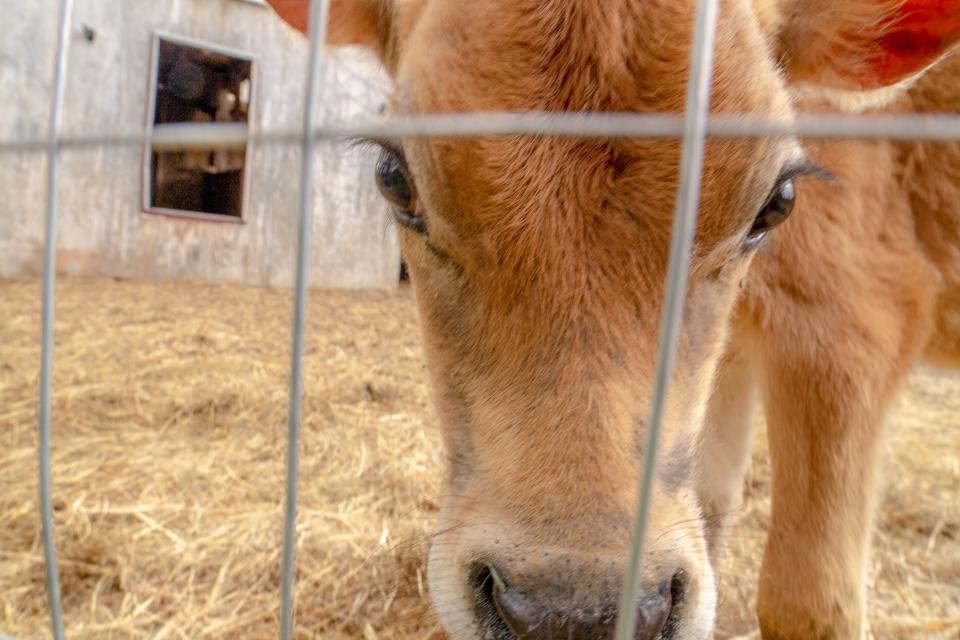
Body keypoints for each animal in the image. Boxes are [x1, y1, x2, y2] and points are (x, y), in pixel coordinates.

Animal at [268, 0, 960, 636]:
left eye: (778, 201)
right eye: (393, 177)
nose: (569, 615)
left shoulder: (851, 322)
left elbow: (810, 600)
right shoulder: (736, 355)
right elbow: (712, 501)